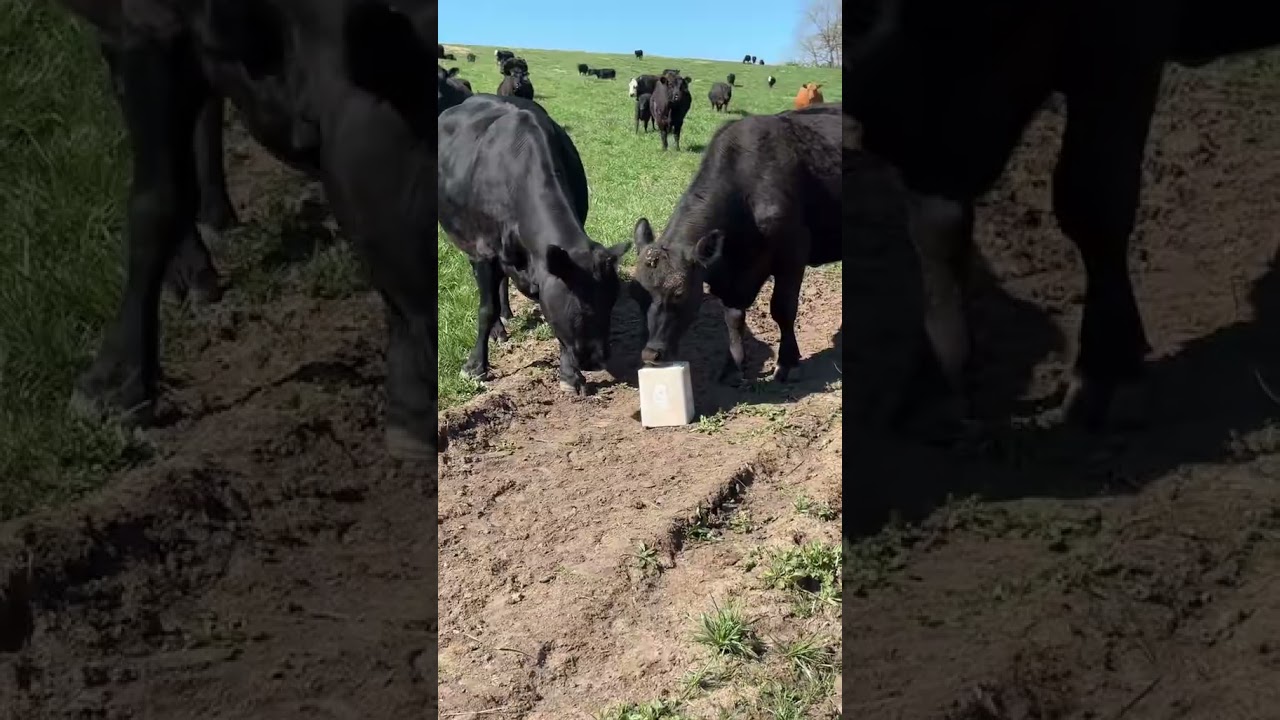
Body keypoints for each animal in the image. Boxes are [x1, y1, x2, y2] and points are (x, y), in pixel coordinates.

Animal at [53, 0, 454, 459]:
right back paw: (192, 266)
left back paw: (215, 219)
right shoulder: (141, 28)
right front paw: (114, 385)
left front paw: (411, 407)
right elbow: (159, 201)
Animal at [438, 94, 632, 395]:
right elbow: (485, 309)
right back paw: (498, 329)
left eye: (612, 301)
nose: (599, 360)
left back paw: (506, 314)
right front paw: (475, 367)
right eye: (583, 307)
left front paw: (570, 375)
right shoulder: (485, 252)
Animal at [630, 105, 842, 384]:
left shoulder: (793, 254)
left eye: (680, 293)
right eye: (636, 295)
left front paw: (787, 362)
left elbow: (783, 309)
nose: (651, 353)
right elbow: (733, 318)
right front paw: (733, 366)